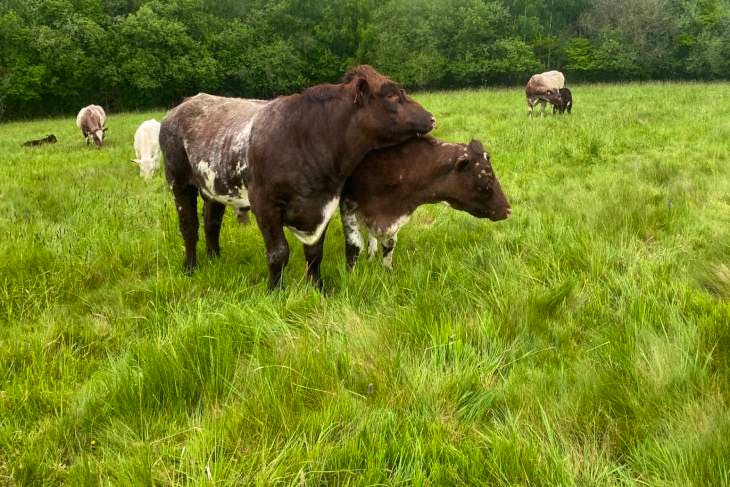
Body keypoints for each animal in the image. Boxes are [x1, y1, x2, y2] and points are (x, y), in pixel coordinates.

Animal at [159, 65, 432, 290]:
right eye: (392, 96)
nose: (431, 117)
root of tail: (185, 104)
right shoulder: (264, 203)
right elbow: (278, 253)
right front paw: (274, 291)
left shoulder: (324, 203)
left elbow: (315, 252)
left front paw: (317, 287)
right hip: (178, 181)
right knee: (189, 226)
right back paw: (190, 267)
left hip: (213, 186)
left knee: (211, 223)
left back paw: (215, 258)